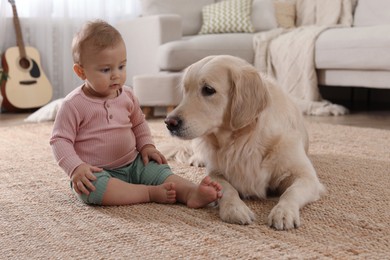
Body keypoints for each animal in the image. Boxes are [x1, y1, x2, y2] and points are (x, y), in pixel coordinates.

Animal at [163, 54, 324, 230]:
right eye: (185, 90)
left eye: (208, 90)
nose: (169, 123)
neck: (243, 140)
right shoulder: (215, 173)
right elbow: (227, 189)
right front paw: (234, 209)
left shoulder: (306, 177)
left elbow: (291, 192)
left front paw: (283, 212)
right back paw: (198, 159)